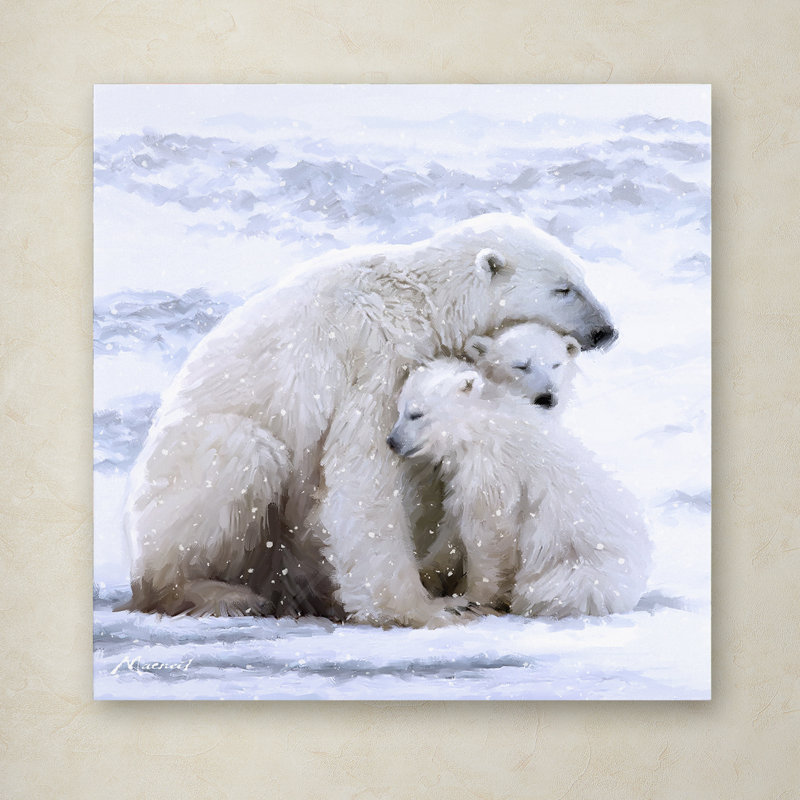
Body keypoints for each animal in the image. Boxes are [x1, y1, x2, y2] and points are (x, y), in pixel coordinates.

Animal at [120, 213, 617, 627]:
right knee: (242, 455)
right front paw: (430, 608)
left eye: (582, 278)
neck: (421, 301)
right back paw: (218, 594)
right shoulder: (375, 354)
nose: (606, 331)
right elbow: (365, 471)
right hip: (185, 473)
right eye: (563, 288)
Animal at [387, 359, 651, 617]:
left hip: (582, 569)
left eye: (416, 414)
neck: (480, 426)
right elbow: (454, 524)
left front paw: (470, 599)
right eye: (400, 411)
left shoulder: (493, 468)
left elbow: (489, 530)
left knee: (561, 589)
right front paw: (426, 574)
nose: (391, 441)